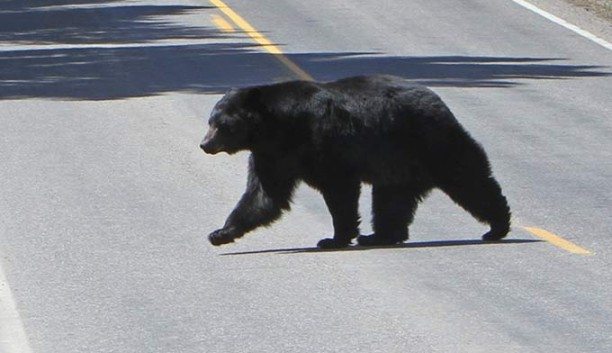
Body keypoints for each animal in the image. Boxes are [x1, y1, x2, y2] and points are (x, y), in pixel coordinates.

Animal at [201, 75, 512, 249]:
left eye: (220, 124)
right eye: (211, 122)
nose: (204, 144)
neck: (277, 126)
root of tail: (440, 102)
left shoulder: (321, 142)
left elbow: (339, 190)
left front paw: (334, 238)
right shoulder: (272, 155)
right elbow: (264, 195)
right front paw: (220, 232)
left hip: (431, 143)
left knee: (469, 179)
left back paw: (497, 227)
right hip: (398, 166)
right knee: (391, 200)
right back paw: (381, 235)